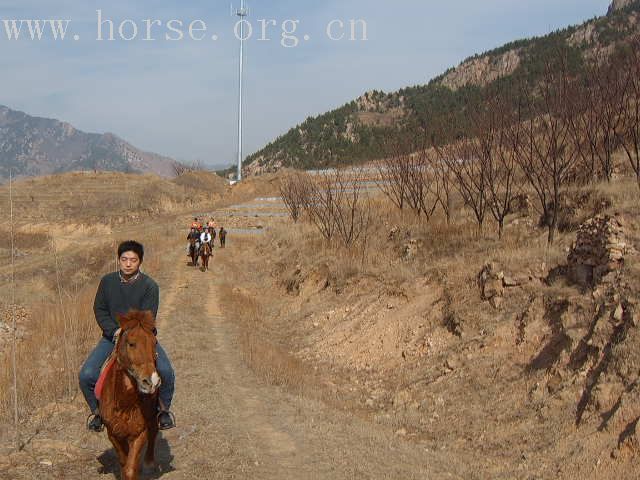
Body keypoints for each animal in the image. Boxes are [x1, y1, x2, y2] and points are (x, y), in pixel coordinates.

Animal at [100, 312, 161, 480]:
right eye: (131, 344)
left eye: (154, 342)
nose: (152, 382)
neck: (124, 403)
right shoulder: (113, 433)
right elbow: (123, 462)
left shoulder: (139, 433)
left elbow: (130, 469)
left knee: (154, 430)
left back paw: (149, 463)